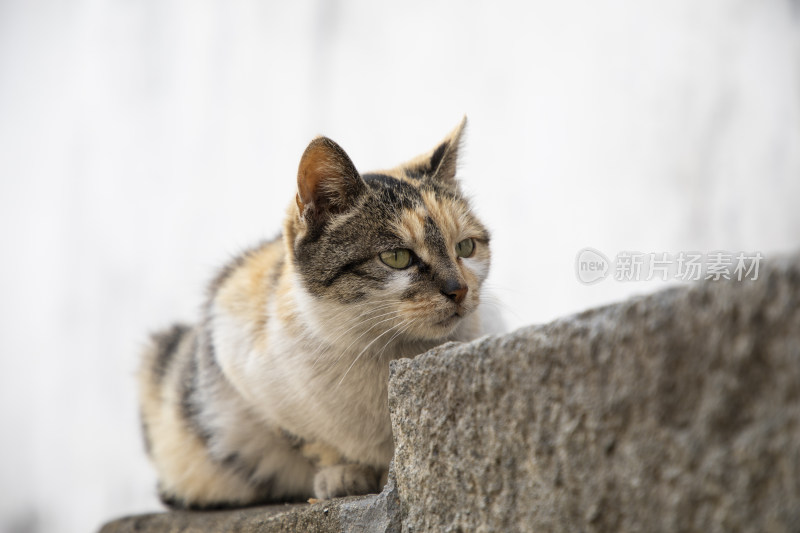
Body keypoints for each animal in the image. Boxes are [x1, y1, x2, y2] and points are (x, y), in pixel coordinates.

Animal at [139, 118, 494, 510]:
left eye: (466, 247)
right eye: (397, 257)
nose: (459, 289)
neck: (387, 350)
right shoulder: (235, 351)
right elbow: (307, 438)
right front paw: (345, 473)